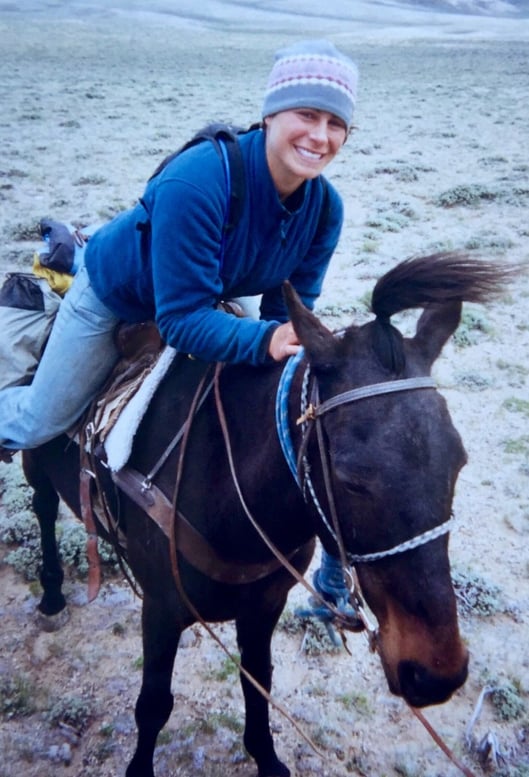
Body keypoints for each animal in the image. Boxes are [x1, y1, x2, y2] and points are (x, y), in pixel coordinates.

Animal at [21, 252, 512, 772]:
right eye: (349, 478)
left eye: (459, 461)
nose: (436, 672)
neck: (225, 488)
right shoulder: (160, 610)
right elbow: (153, 704)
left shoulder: (263, 606)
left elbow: (258, 683)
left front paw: (267, 757)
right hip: (36, 449)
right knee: (43, 508)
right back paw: (51, 595)